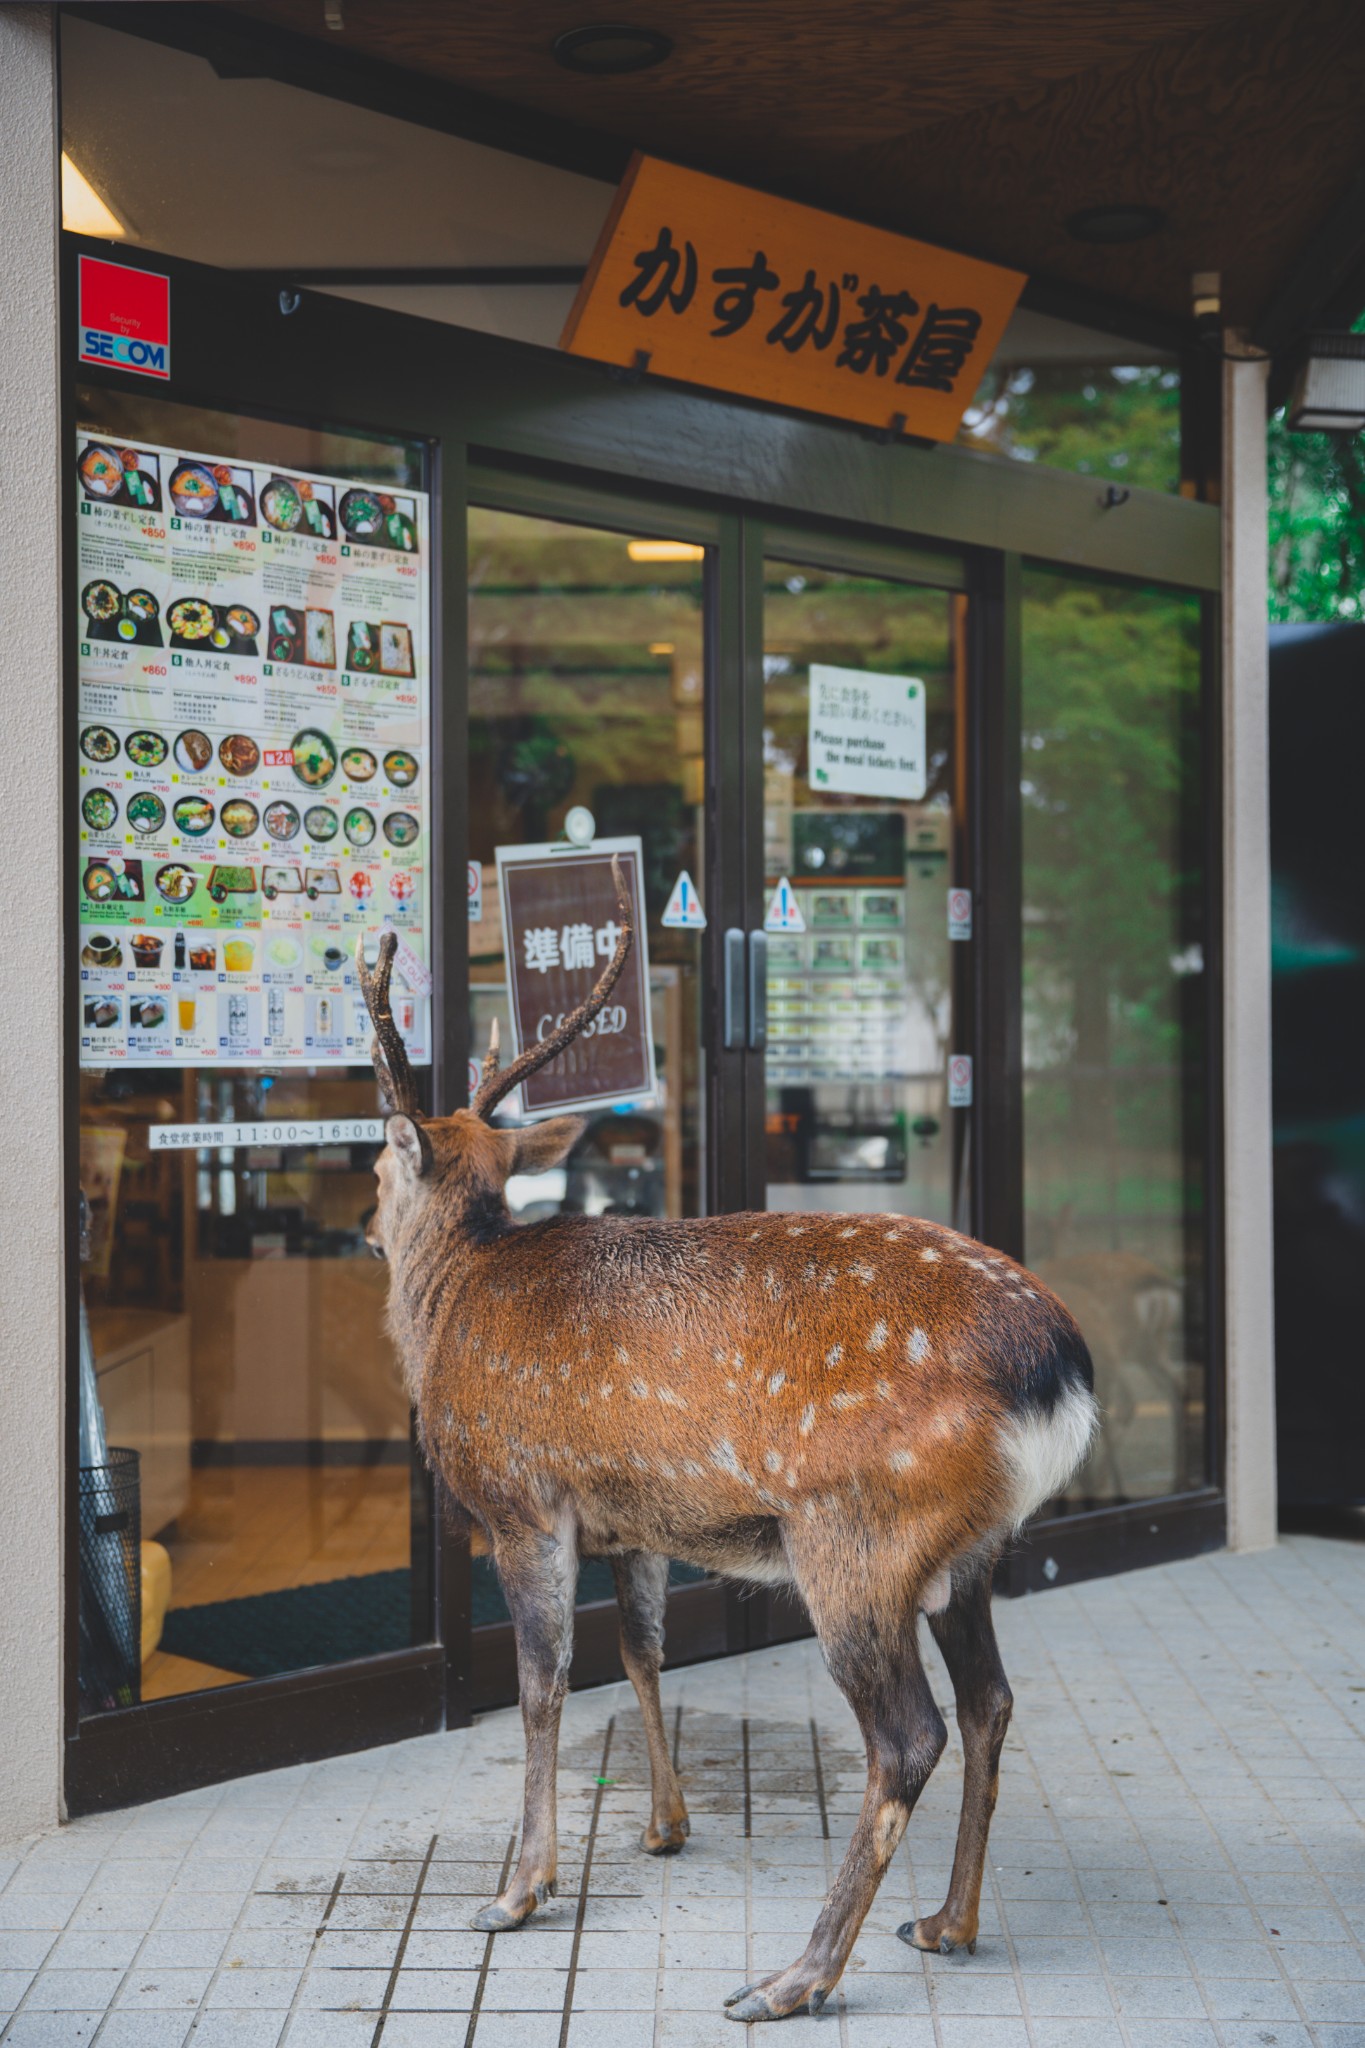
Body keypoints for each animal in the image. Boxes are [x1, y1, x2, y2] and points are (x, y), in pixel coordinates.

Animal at [356, 856, 1096, 2023]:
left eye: (381, 1164)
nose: (362, 1228)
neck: (454, 1303)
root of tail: (1059, 1365)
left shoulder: (523, 1501)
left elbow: (540, 1684)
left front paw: (518, 1891)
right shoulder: (634, 1519)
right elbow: (640, 1650)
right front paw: (665, 1826)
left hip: (856, 1531)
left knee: (909, 1735)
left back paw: (794, 1976)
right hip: (971, 1549)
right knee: (990, 1702)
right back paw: (944, 1923)